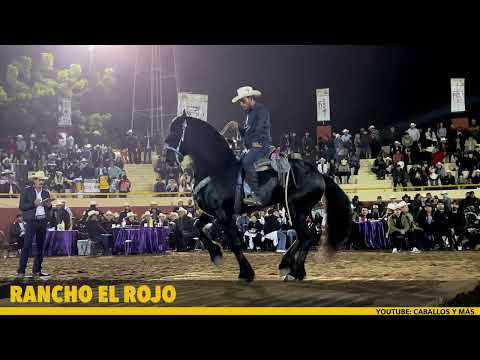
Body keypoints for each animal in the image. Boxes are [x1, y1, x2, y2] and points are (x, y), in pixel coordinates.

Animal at [165, 115, 352, 282]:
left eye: (174, 132)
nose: (167, 158)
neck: (217, 169)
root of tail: (319, 174)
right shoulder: (212, 213)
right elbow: (197, 226)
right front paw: (216, 254)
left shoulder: (224, 215)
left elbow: (234, 242)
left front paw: (245, 272)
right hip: (299, 210)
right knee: (306, 235)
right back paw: (289, 266)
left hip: (295, 209)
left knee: (305, 236)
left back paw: (294, 271)